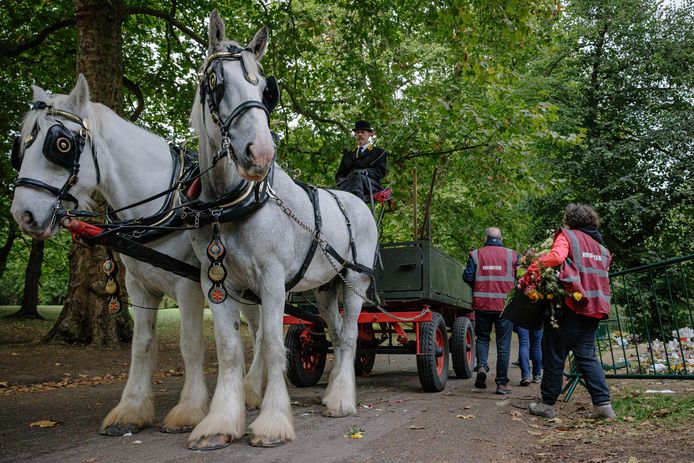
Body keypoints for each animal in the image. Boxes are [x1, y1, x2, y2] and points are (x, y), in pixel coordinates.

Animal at [9, 75, 209, 436]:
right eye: (20, 148)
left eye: (61, 145)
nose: (23, 215)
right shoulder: (140, 286)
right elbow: (141, 345)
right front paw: (131, 410)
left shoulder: (189, 286)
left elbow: (190, 343)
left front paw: (189, 410)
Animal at [185, 10, 378, 452]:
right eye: (216, 82)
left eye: (263, 87)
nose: (260, 153)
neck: (230, 205)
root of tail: (358, 200)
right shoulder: (216, 282)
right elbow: (230, 349)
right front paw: (219, 423)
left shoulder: (272, 280)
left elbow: (273, 346)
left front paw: (272, 423)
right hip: (325, 287)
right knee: (336, 329)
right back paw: (333, 392)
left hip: (356, 280)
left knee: (350, 335)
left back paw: (342, 399)